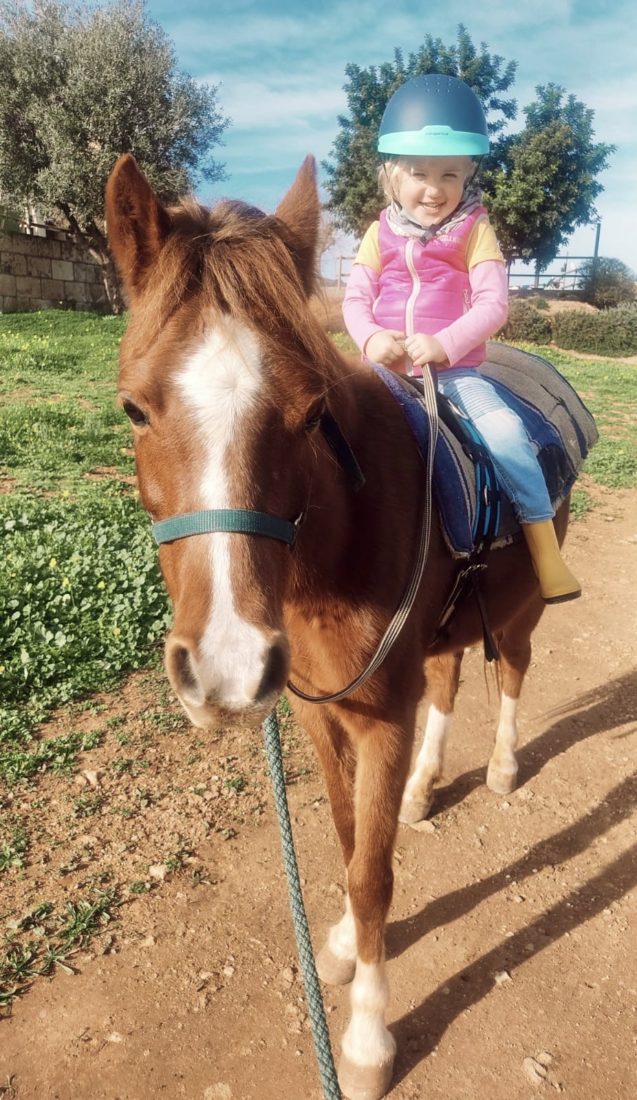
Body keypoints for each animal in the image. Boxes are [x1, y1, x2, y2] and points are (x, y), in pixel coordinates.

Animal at [106, 155, 572, 1100]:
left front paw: (363, 1039)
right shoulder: (322, 713)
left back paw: (502, 767)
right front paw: (344, 950)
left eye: (311, 411)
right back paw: (429, 785)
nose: (227, 665)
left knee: (510, 672)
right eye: (134, 409)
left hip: (520, 610)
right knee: (450, 681)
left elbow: (372, 874)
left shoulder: (380, 717)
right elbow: (349, 839)